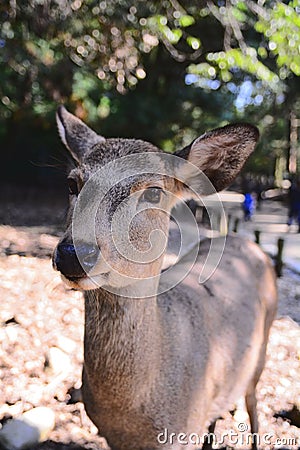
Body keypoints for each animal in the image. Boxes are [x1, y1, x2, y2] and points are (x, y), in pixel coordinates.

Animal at [52, 105, 278, 450]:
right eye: (72, 184)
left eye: (154, 193)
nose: (73, 253)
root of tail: (253, 245)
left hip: (263, 345)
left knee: (252, 400)